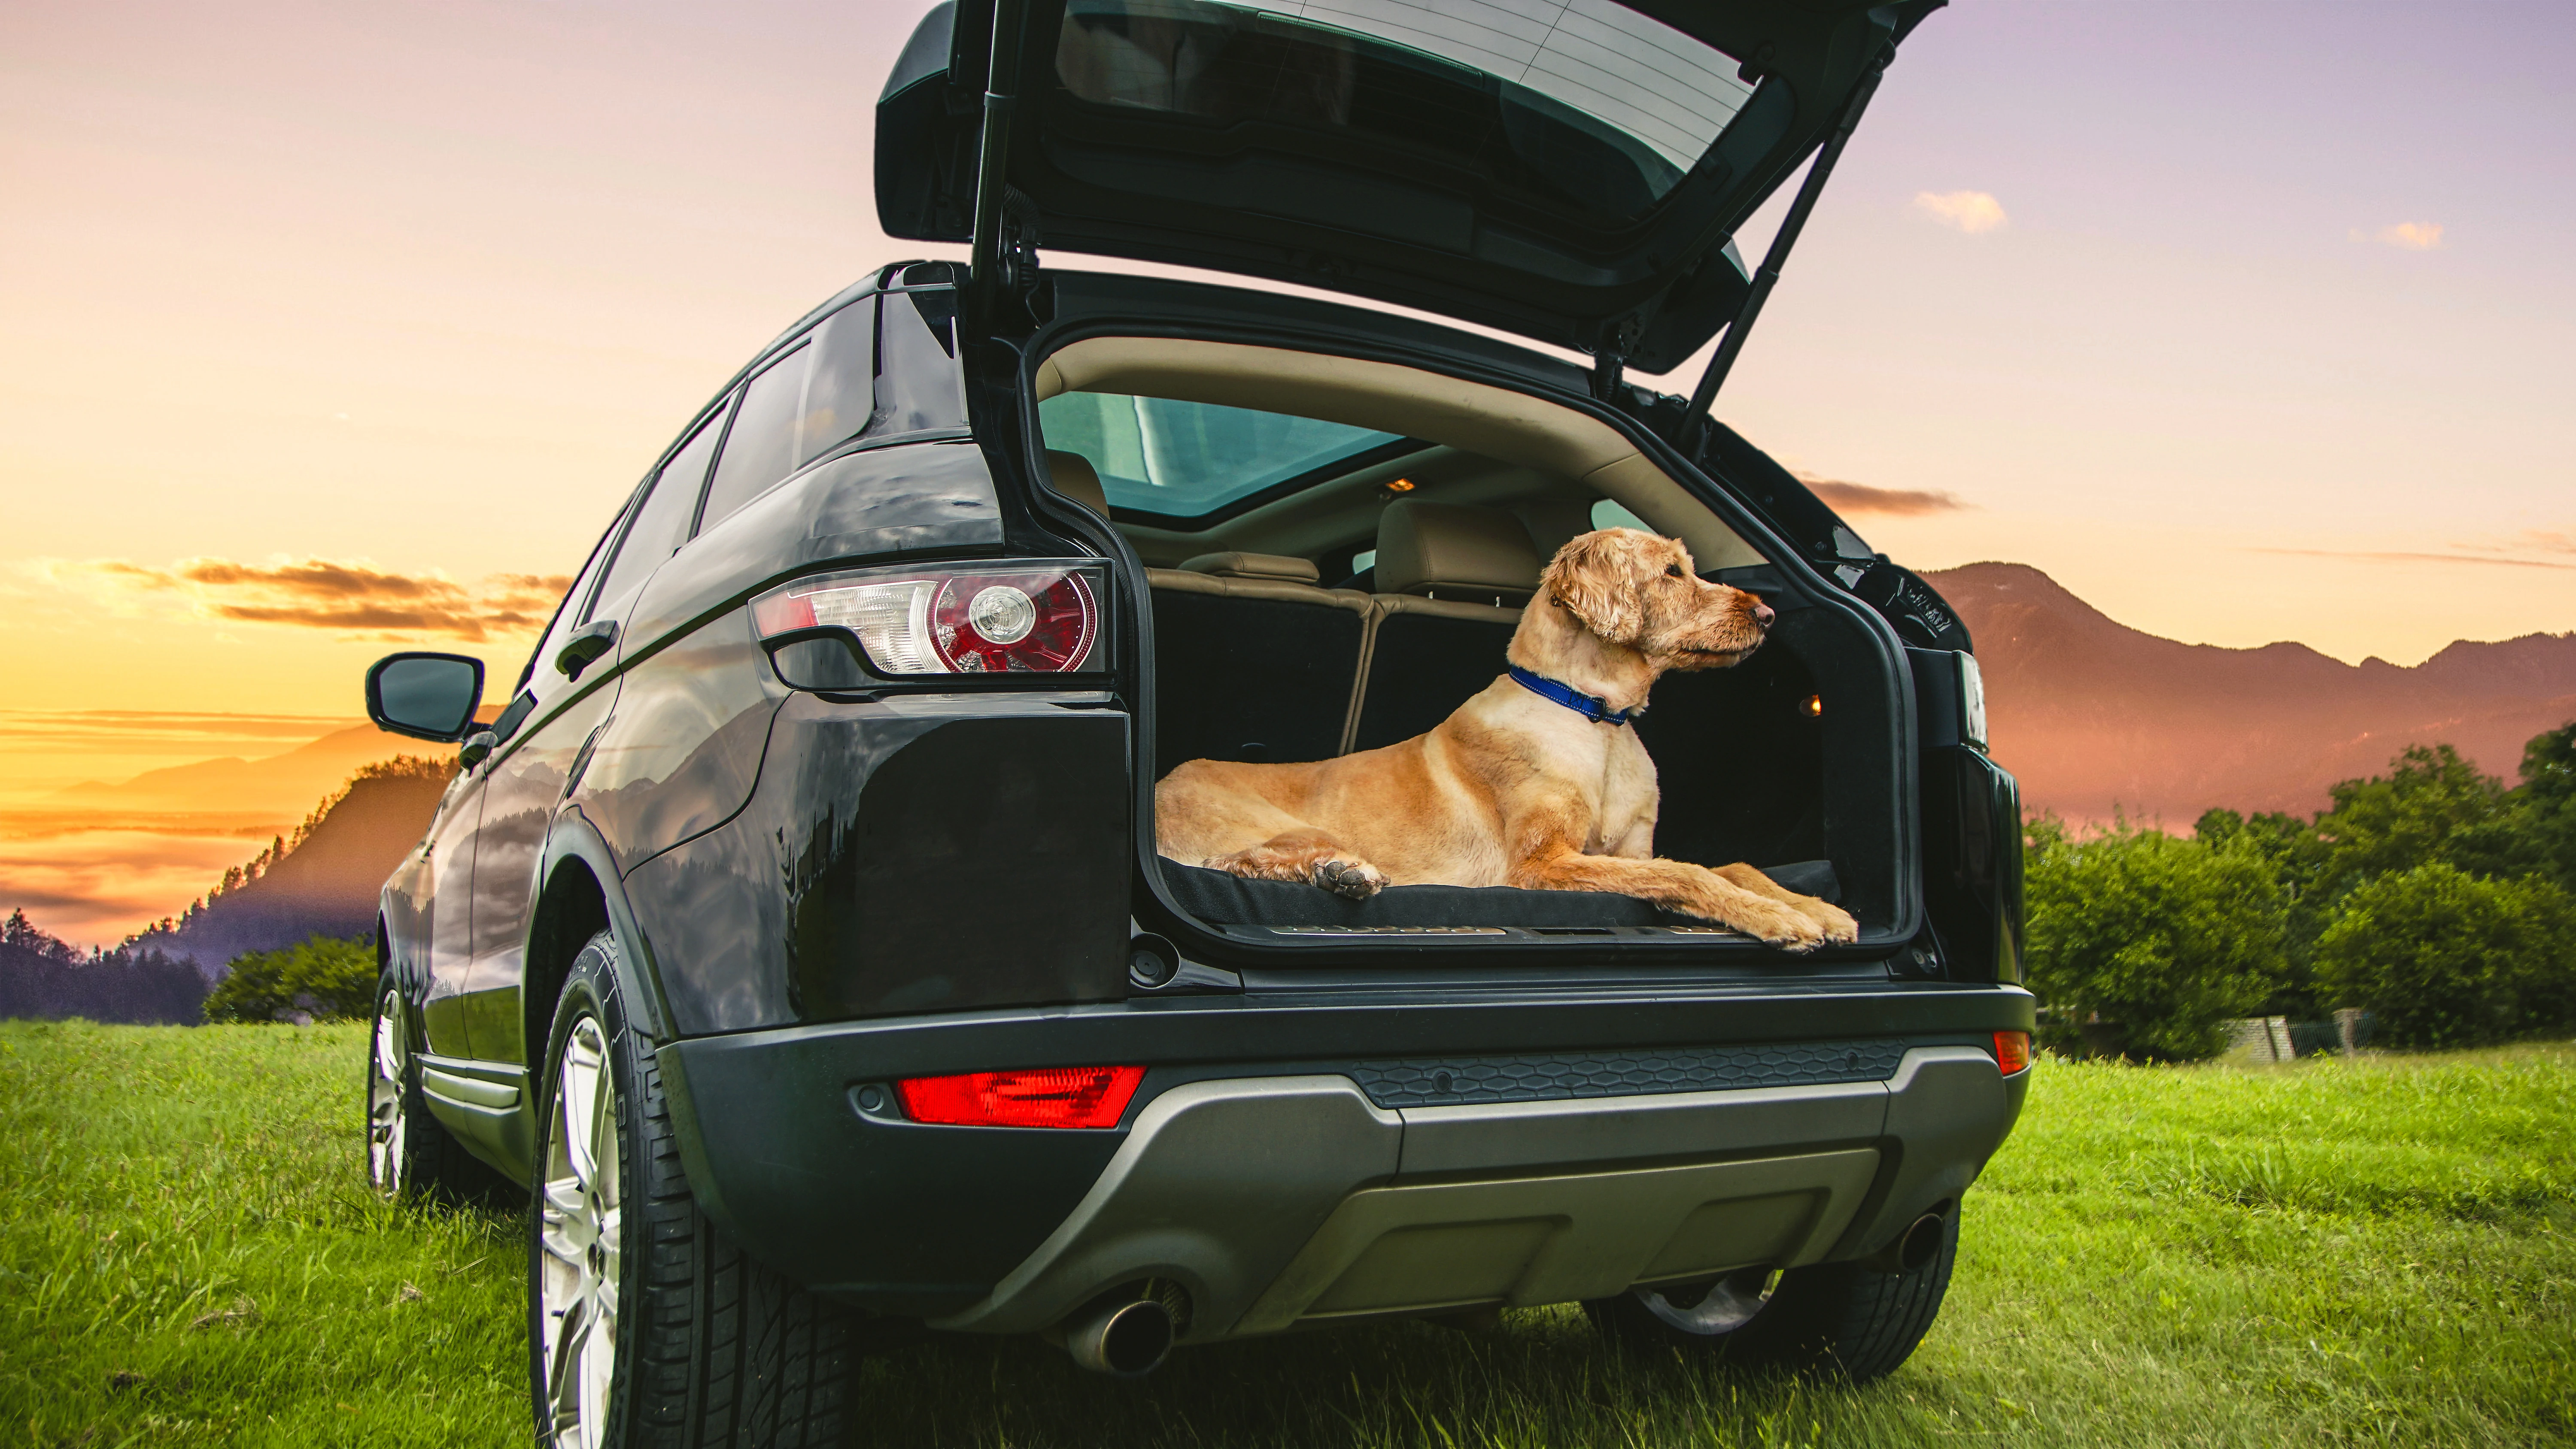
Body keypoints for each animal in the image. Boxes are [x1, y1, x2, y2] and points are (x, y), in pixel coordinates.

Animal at [1159, 530, 1865, 952]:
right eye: (1670, 572)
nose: (1768, 616)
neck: (1595, 718)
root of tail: (1160, 782)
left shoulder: (1633, 848)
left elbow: (1731, 865)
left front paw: (1817, 909)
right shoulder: (1542, 864)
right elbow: (1686, 874)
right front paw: (1781, 919)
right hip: (1278, 825)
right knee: (1237, 861)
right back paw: (1342, 872)